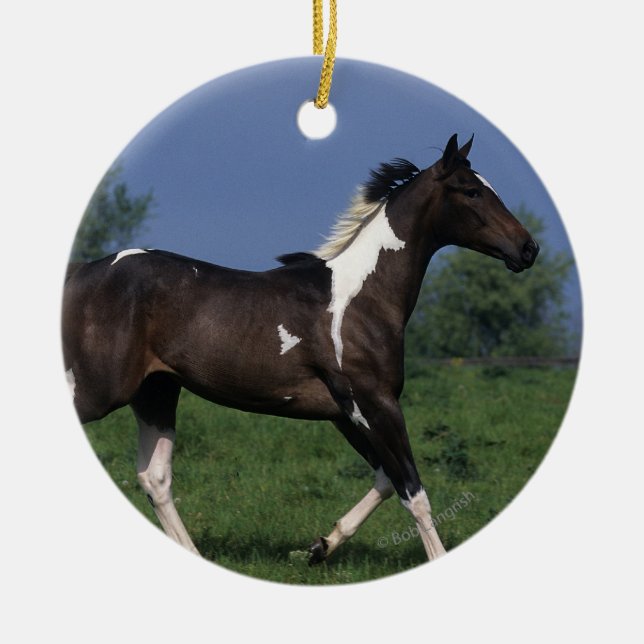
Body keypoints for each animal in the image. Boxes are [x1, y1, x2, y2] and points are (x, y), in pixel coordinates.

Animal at [62, 133, 539, 565]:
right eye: (471, 190)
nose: (528, 248)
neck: (361, 299)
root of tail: (83, 272)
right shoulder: (375, 403)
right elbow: (412, 490)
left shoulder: (344, 413)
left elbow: (386, 479)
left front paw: (319, 547)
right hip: (101, 391)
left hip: (156, 392)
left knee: (155, 478)